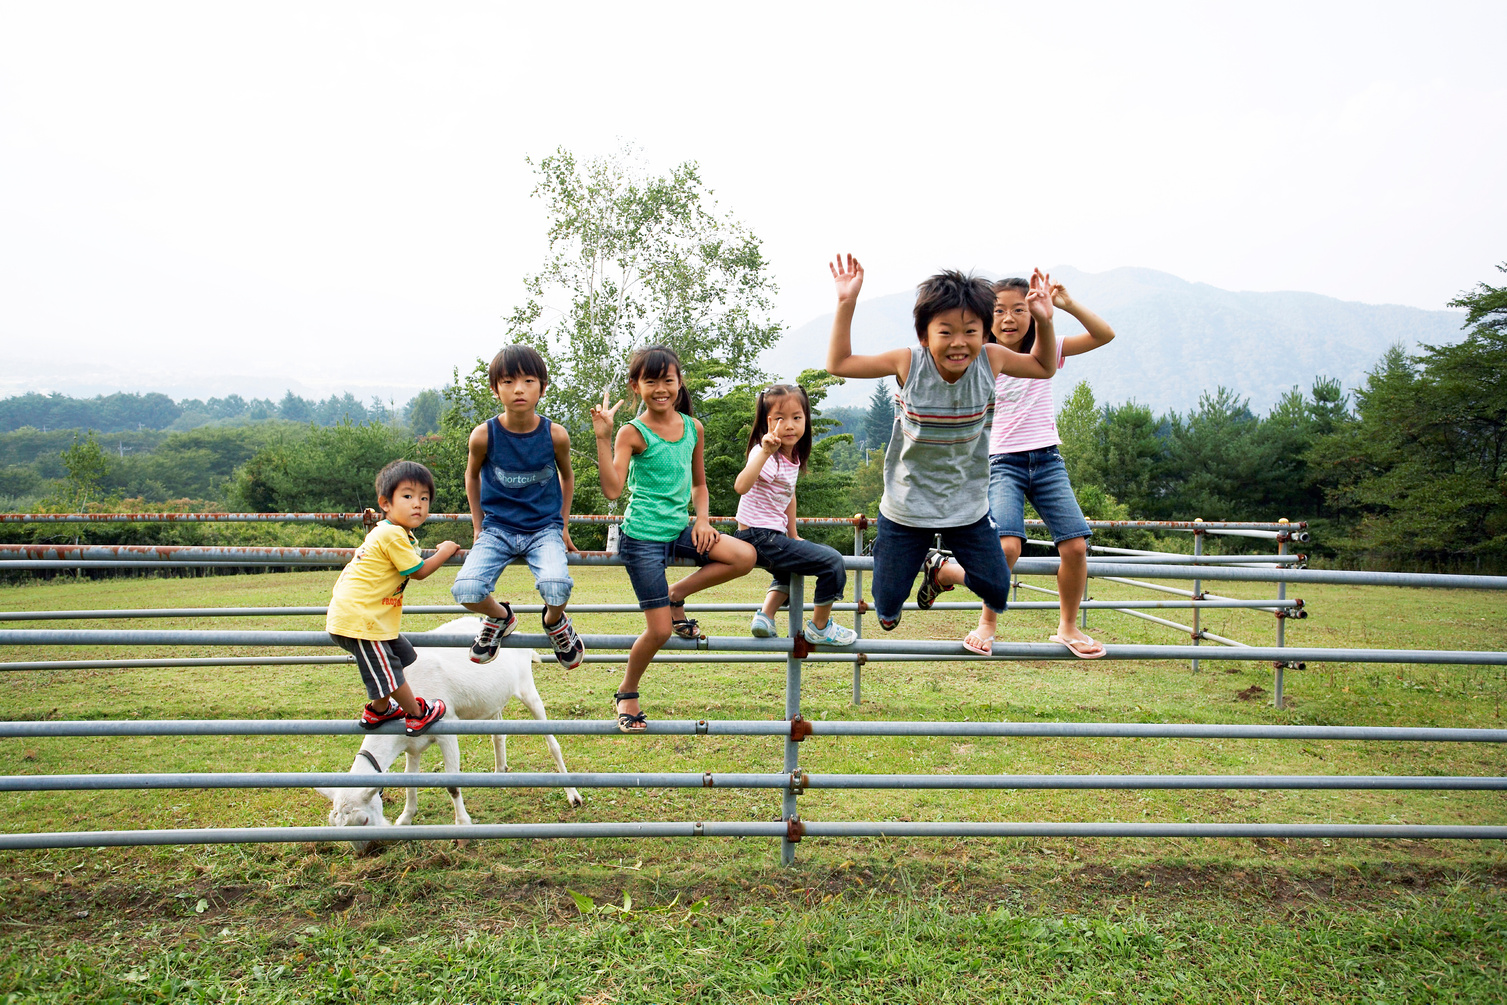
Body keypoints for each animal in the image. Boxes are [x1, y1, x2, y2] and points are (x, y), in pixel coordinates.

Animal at [313, 617, 581, 843]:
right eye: (334, 825)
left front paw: (462, 828)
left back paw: (572, 795)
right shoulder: (411, 744)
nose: (369, 851)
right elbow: (409, 780)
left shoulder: (446, 728)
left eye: (364, 820)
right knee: (498, 734)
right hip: (492, 700)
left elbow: (452, 784)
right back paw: (499, 773)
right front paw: (405, 818)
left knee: (552, 744)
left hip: (527, 688)